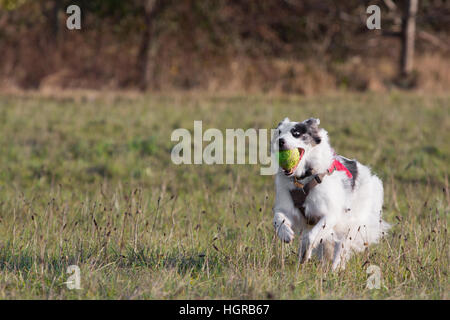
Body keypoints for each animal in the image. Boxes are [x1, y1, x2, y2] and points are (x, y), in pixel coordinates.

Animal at [272, 117, 388, 270]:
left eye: (296, 133)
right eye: (279, 132)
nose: (280, 141)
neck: (303, 179)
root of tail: (369, 174)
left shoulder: (331, 215)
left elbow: (311, 237)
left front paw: (305, 254)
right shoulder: (286, 207)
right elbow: (278, 218)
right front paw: (285, 234)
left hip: (351, 223)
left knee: (341, 246)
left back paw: (335, 269)